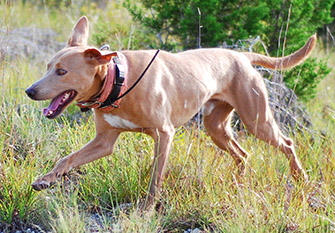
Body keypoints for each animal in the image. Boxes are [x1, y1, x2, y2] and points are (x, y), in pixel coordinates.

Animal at [25, 15, 316, 204]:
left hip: (257, 121)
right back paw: (239, 184)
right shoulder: (104, 141)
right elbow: (67, 159)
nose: (29, 91)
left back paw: (300, 177)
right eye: (48, 67)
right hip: (216, 128)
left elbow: (155, 178)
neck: (119, 80)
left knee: (287, 144)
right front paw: (45, 179)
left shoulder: (164, 134)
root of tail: (241, 55)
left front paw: (146, 210)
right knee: (243, 155)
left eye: (62, 72)